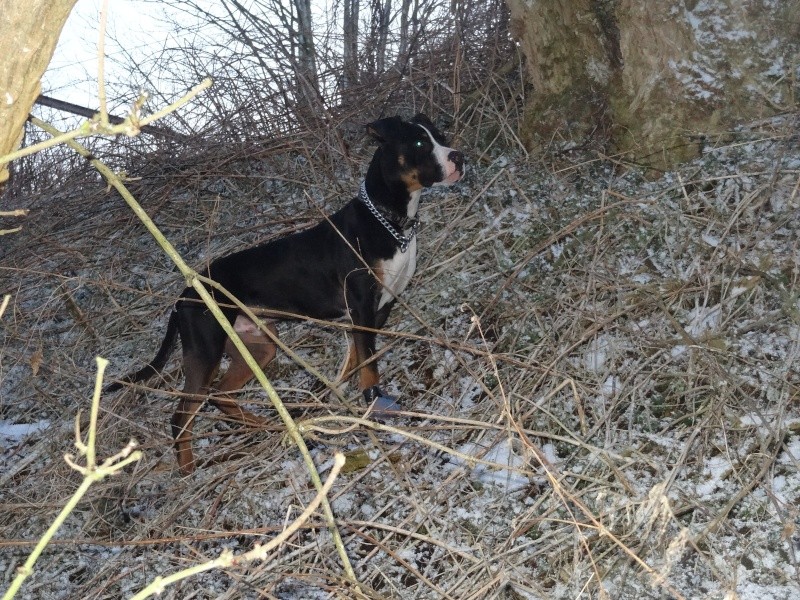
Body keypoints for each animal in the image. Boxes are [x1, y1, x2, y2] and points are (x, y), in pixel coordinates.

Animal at [109, 115, 466, 474]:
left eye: (441, 136)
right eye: (418, 143)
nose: (459, 157)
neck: (387, 222)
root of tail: (183, 296)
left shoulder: (378, 310)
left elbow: (356, 361)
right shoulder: (363, 309)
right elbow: (368, 370)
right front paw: (372, 407)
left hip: (258, 346)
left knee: (221, 395)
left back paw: (264, 425)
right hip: (205, 352)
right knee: (181, 416)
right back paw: (188, 471)